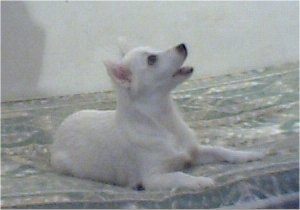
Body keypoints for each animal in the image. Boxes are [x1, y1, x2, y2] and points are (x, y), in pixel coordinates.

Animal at [50, 43, 264, 191]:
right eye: (152, 59)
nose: (182, 45)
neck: (163, 121)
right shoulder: (154, 178)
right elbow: (179, 175)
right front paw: (200, 181)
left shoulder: (194, 152)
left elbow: (220, 150)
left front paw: (247, 155)